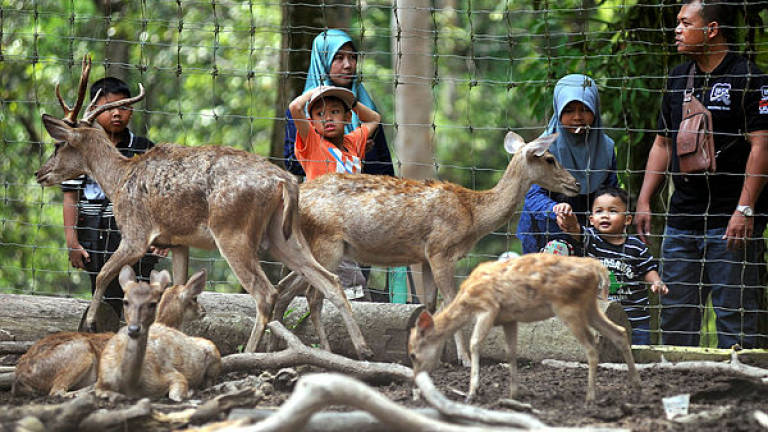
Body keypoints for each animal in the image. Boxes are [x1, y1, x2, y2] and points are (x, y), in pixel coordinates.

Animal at [35, 55, 372, 360]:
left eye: (59, 144)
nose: (40, 173)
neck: (118, 180)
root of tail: (283, 181)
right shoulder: (177, 242)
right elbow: (177, 287)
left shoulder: (136, 233)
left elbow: (104, 273)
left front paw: (90, 324)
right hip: (284, 234)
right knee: (328, 281)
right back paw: (361, 348)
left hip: (233, 231)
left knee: (266, 292)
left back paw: (250, 352)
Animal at [272, 132, 580, 364]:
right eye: (550, 158)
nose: (575, 183)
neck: (473, 217)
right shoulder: (441, 249)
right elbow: (451, 301)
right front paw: (464, 358)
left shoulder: (425, 256)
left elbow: (430, 304)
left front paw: (434, 356)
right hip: (328, 243)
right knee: (318, 293)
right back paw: (344, 350)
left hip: (309, 247)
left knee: (285, 288)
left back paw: (274, 342)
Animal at [408, 253, 640, 402]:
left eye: (412, 354)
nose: (415, 388)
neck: (467, 300)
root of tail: (597, 269)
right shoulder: (509, 318)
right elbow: (510, 352)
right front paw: (514, 393)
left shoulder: (488, 308)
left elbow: (475, 344)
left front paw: (472, 392)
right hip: (589, 306)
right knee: (619, 332)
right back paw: (634, 384)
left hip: (568, 307)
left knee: (592, 347)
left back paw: (590, 397)